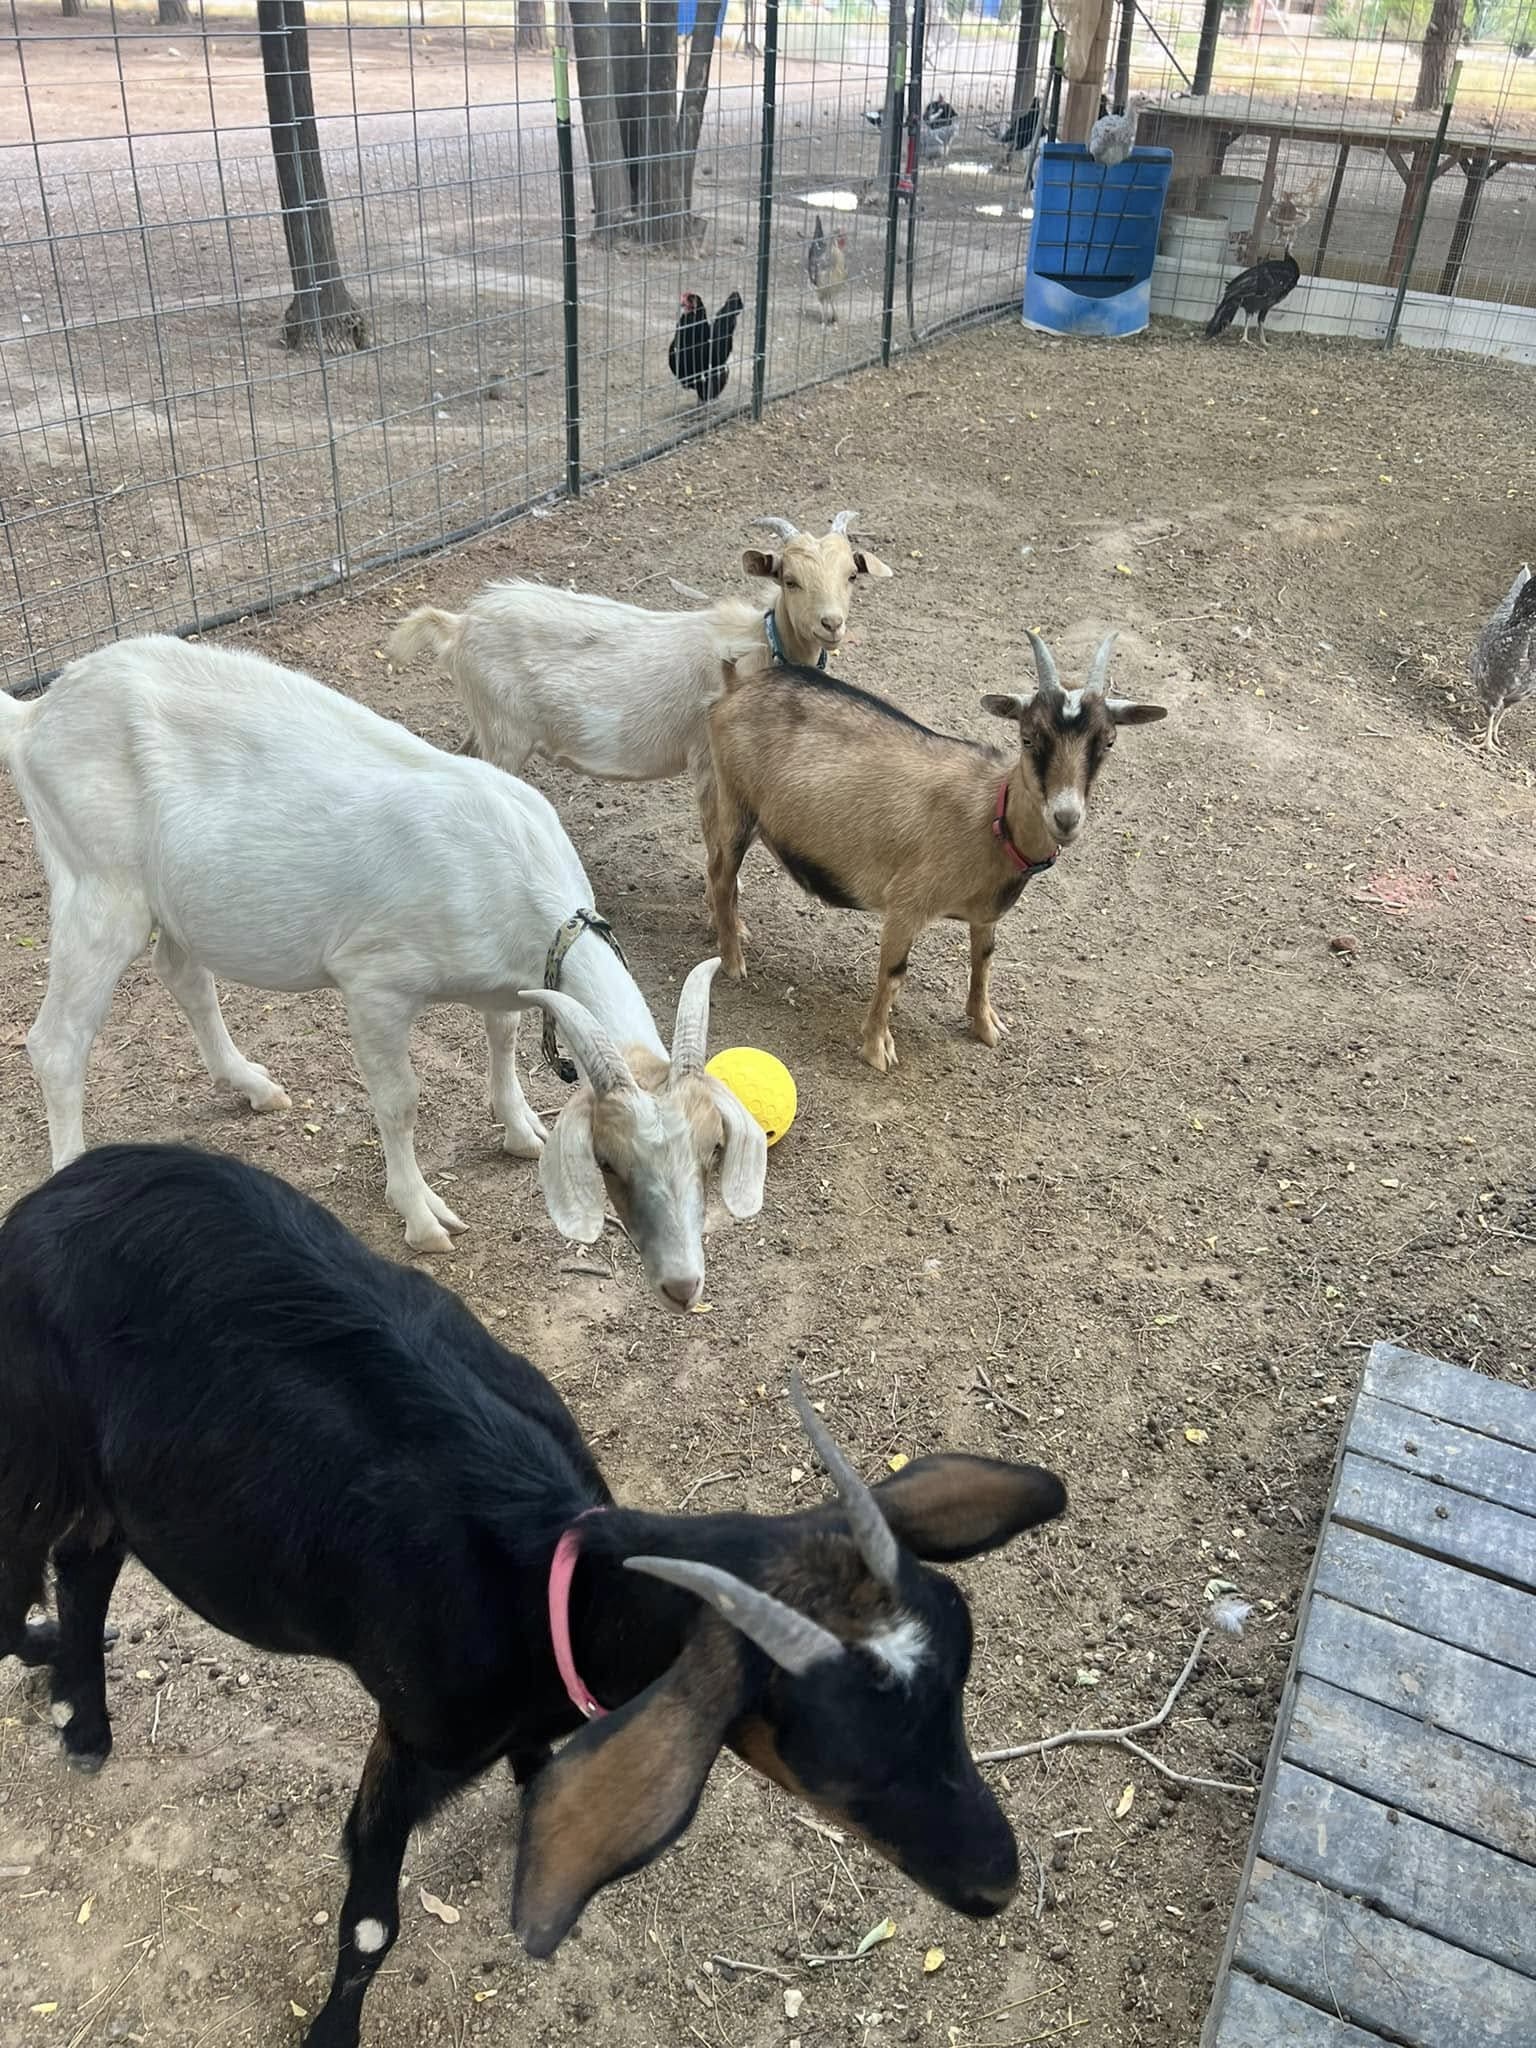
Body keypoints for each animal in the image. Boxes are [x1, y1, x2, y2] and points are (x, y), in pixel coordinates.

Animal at [0, 635, 764, 1298]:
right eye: (609, 1159)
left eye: (711, 1150)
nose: (681, 1285)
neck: (509, 872)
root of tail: (36, 716)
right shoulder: (375, 983)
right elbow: (400, 1101)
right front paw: (423, 1214)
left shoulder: (506, 979)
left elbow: (504, 1037)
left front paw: (521, 1130)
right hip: (98, 886)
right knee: (57, 1041)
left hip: (179, 898)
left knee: (181, 972)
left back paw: (252, 1085)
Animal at [0, 1143, 1068, 2048]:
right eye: (838, 1761)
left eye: (958, 1693)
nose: (997, 1884)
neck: (544, 1577)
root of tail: (48, 1198)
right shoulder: (412, 1737)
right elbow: (372, 1920)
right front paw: (333, 2033)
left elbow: (538, 1759)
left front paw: (534, 1779)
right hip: (36, 1436)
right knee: (29, 1572)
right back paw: (58, 1680)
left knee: (90, 1556)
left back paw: (84, 1715)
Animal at [384, 512, 893, 853]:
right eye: (789, 579)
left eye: (851, 574)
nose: (831, 624)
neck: (756, 645)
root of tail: (459, 625)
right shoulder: (707, 759)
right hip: (505, 734)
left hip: (487, 724)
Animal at [704, 630, 1167, 1071]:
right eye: (1029, 738)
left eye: (1107, 742)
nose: (1066, 817)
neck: (991, 817)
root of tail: (737, 686)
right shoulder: (905, 905)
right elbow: (893, 973)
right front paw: (877, 1048)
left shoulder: (985, 914)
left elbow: (983, 960)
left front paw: (986, 1025)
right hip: (737, 802)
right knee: (721, 873)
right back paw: (733, 960)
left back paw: (736, 930)